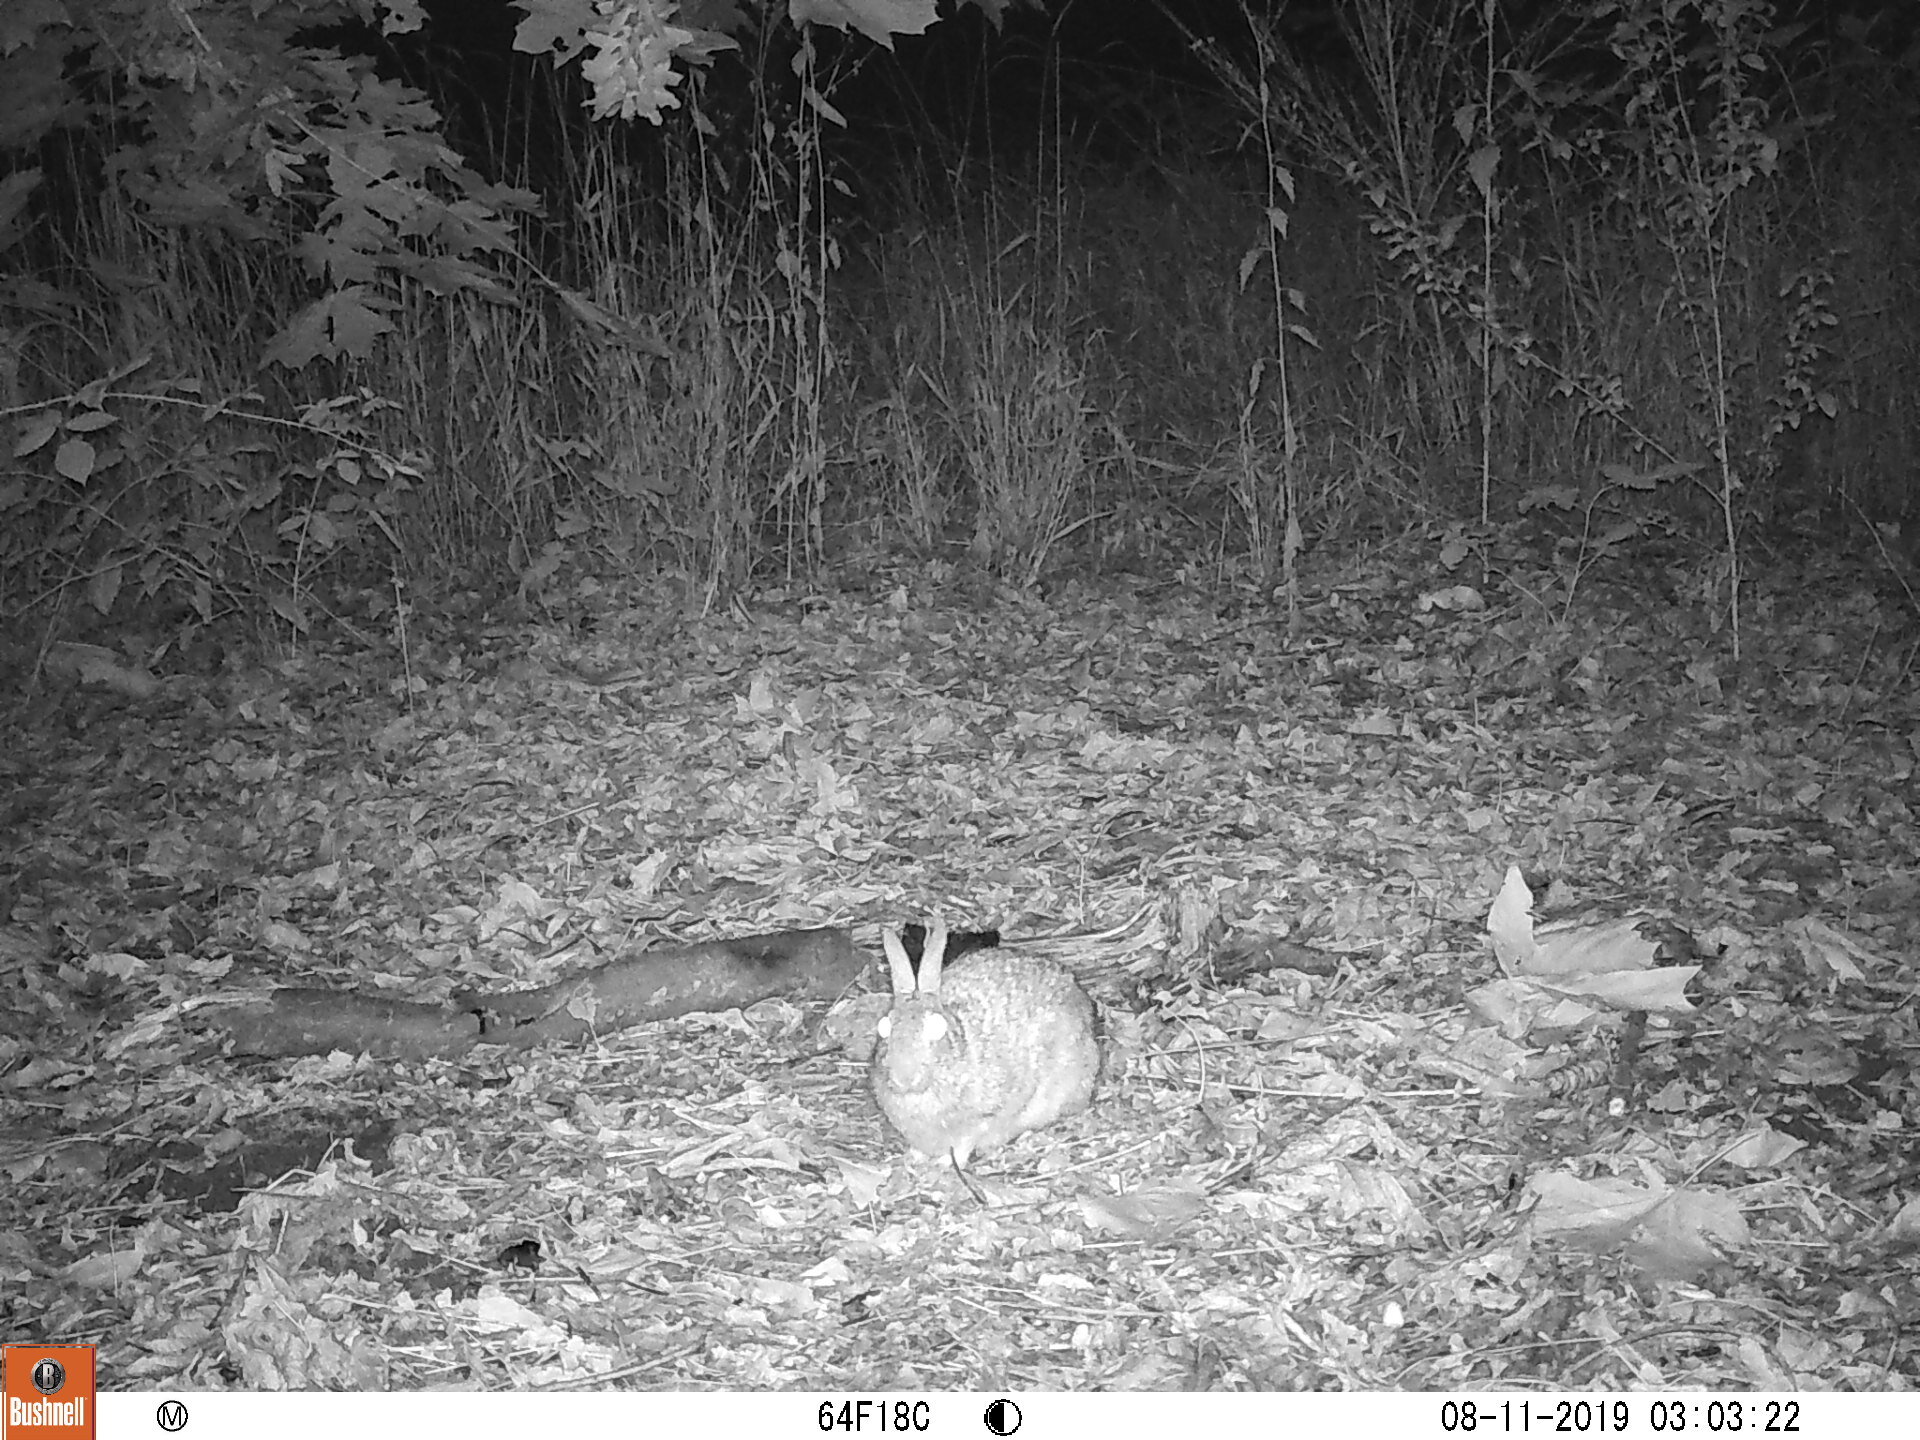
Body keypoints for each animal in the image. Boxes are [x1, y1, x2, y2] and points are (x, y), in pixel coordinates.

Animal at [871, 916, 1100, 1172]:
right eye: (883, 1027)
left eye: (937, 1028)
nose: (904, 1078)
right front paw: (914, 1157)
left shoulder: (984, 1117)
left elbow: (967, 1141)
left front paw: (945, 1163)